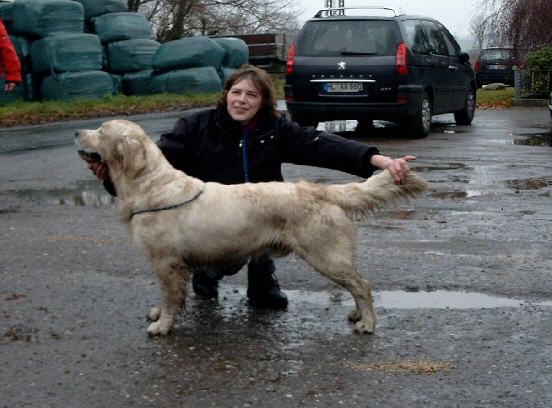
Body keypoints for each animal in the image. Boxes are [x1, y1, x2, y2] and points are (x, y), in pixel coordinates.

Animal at [74, 119, 426, 336]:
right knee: (357, 286)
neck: (150, 185)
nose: (77, 132)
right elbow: (168, 297)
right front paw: (159, 315)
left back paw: (367, 323)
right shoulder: (169, 263)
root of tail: (323, 190)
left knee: (362, 286)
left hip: (326, 255)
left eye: (101, 130)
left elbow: (170, 297)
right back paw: (357, 314)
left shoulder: (166, 262)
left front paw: (163, 325)